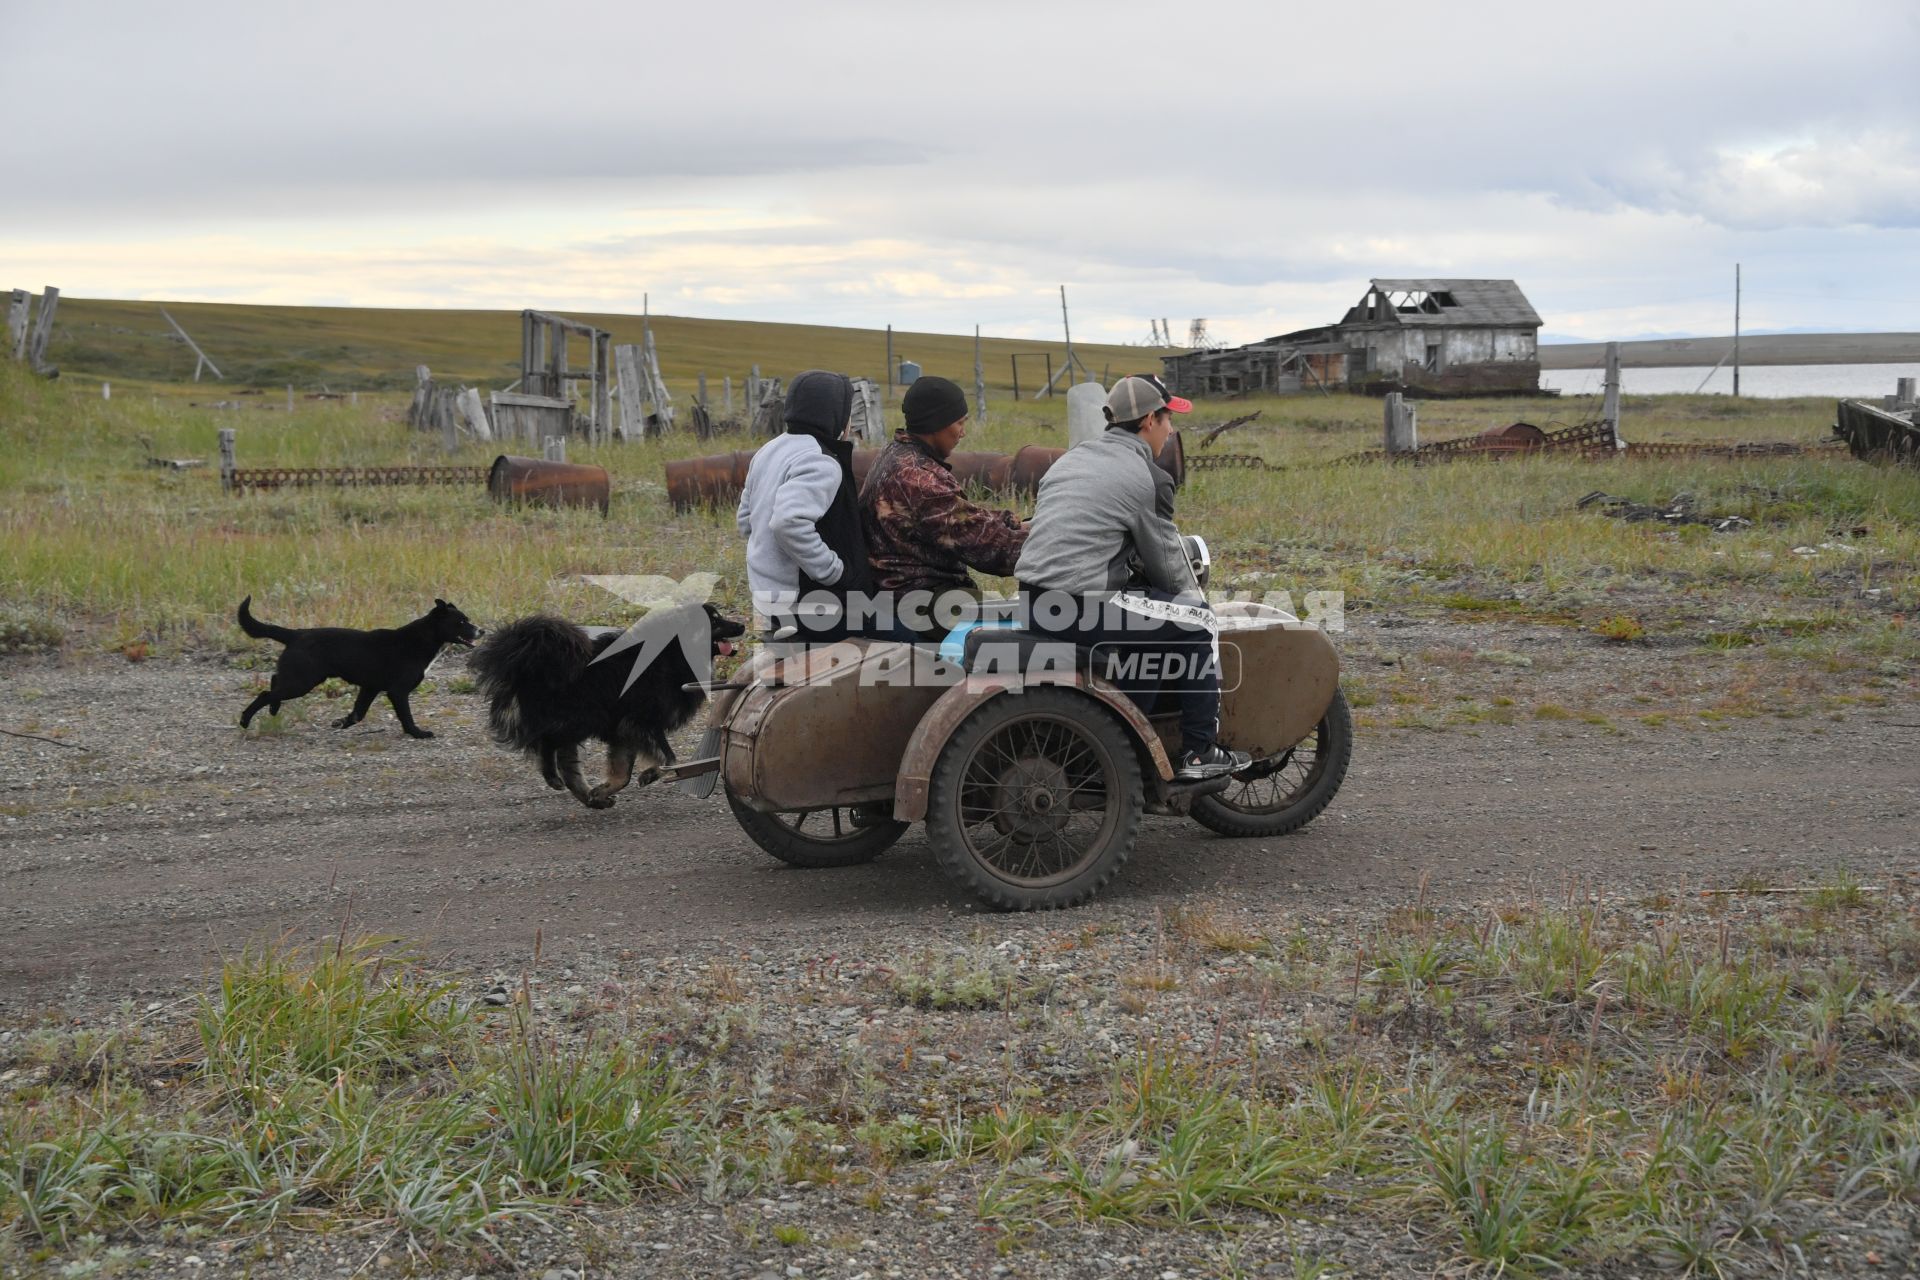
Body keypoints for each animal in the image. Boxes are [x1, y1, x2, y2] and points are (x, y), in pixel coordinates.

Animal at [472, 602, 748, 809]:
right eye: (715, 620)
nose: (742, 624)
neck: (674, 651)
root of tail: (527, 664)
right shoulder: (642, 721)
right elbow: (668, 756)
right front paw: (651, 774)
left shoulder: (623, 730)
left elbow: (622, 773)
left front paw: (602, 791)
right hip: (577, 718)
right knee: (547, 743)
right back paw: (551, 775)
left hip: (579, 723)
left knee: (568, 766)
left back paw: (590, 799)